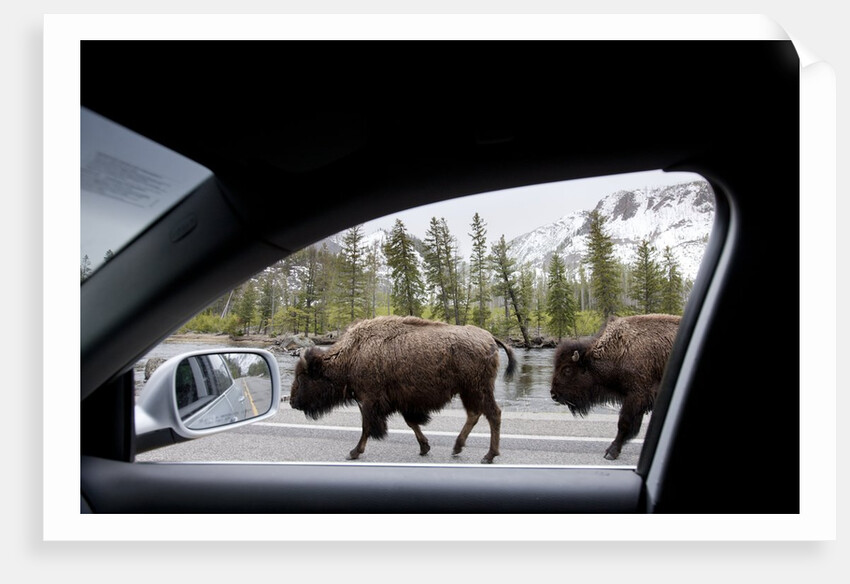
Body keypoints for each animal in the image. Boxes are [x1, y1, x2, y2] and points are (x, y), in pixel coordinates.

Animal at [289, 316, 516, 463]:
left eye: (302, 377)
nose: (291, 401)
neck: (352, 354)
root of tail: (490, 338)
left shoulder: (370, 400)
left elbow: (367, 427)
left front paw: (353, 452)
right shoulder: (400, 401)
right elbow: (411, 423)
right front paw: (424, 448)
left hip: (477, 389)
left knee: (493, 414)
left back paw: (488, 456)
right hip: (468, 391)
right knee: (475, 414)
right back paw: (457, 448)